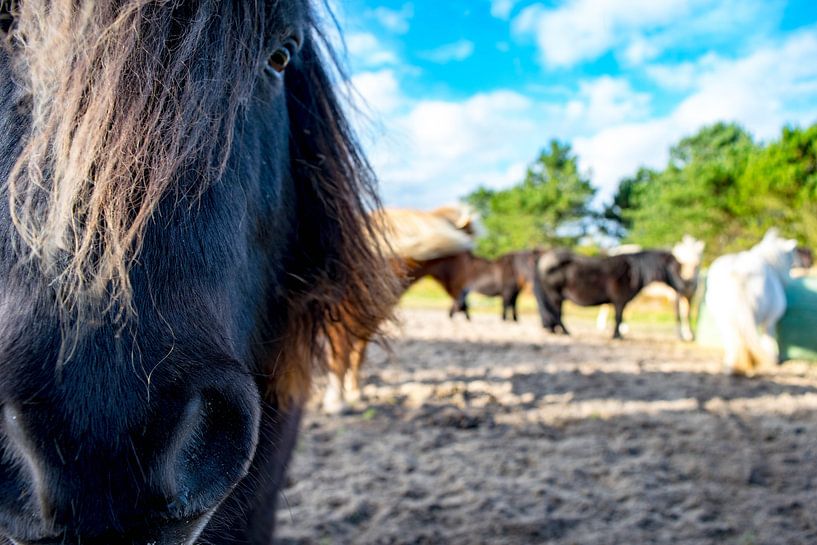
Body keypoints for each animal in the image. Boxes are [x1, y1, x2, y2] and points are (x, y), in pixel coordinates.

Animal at [322, 204, 482, 412]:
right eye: (470, 255)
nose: (465, 304)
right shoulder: (339, 322)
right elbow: (340, 356)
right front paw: (336, 402)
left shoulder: (368, 322)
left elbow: (358, 356)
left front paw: (355, 393)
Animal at [540, 249, 692, 338]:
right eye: (674, 268)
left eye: (679, 267)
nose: (683, 286)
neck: (633, 273)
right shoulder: (620, 300)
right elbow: (618, 317)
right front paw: (617, 335)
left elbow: (619, 317)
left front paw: (617, 334)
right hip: (555, 296)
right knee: (557, 314)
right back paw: (566, 332)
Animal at [700, 228, 796, 374]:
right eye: (791, 254)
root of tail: (737, 272)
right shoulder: (771, 319)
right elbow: (768, 338)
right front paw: (772, 359)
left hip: (723, 317)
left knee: (732, 339)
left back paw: (732, 365)